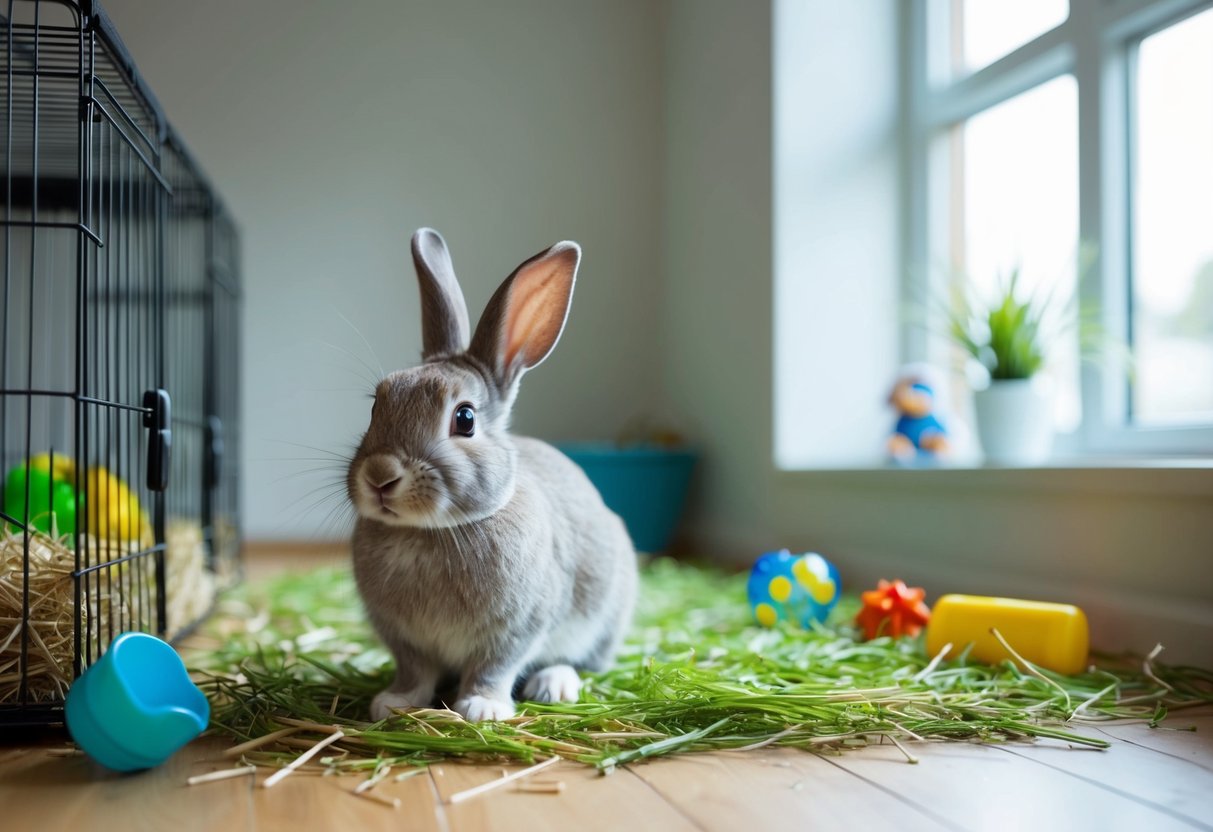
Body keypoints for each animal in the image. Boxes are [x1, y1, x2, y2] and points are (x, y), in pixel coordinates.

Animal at [348, 228, 638, 723]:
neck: (429, 532)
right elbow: (415, 672)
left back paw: (553, 684)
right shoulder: (405, 641)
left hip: (603, 614)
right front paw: (394, 703)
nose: (380, 476)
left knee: (583, 662)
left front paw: (482, 709)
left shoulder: (518, 629)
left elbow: (493, 667)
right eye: (376, 405)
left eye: (464, 419)